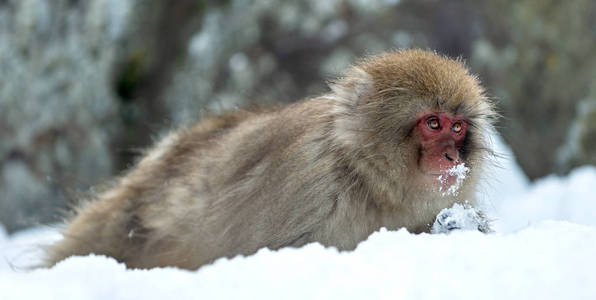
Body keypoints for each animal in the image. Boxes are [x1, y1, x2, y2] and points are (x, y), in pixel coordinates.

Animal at [44, 49, 496, 270]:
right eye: (433, 123)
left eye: (458, 127)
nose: (452, 155)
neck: (367, 181)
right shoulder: (311, 187)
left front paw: (459, 226)